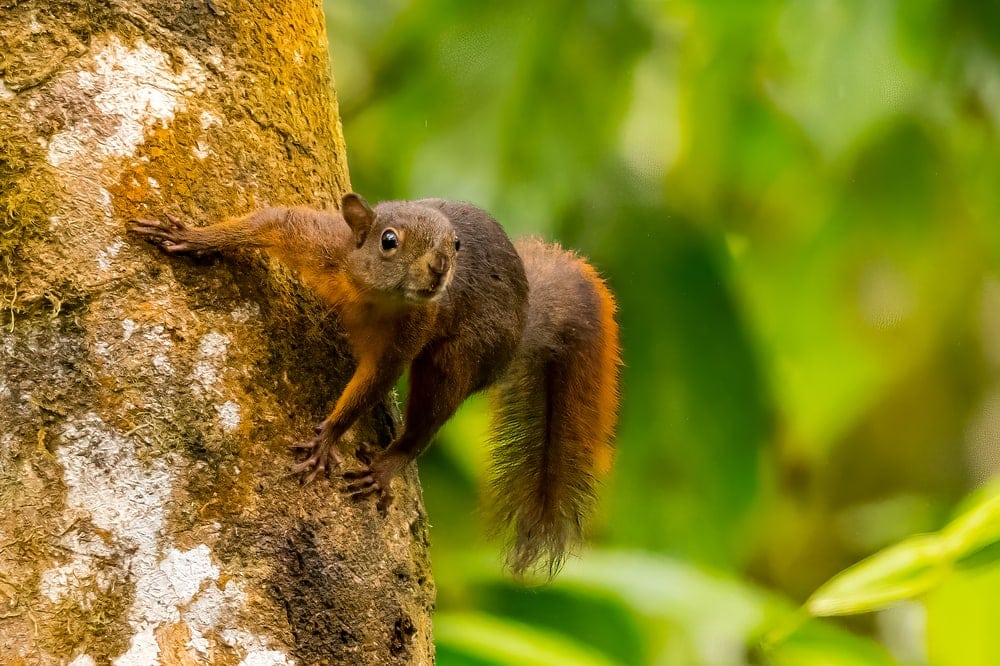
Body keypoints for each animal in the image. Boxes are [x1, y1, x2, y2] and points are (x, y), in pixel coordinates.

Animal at [130, 193, 621, 576]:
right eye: (389, 241)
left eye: (456, 244)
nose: (441, 267)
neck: (373, 296)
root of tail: (522, 328)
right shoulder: (320, 242)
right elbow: (268, 221)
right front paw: (193, 237)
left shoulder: (409, 333)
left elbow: (371, 386)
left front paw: (329, 437)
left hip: (462, 356)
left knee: (429, 419)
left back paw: (390, 462)